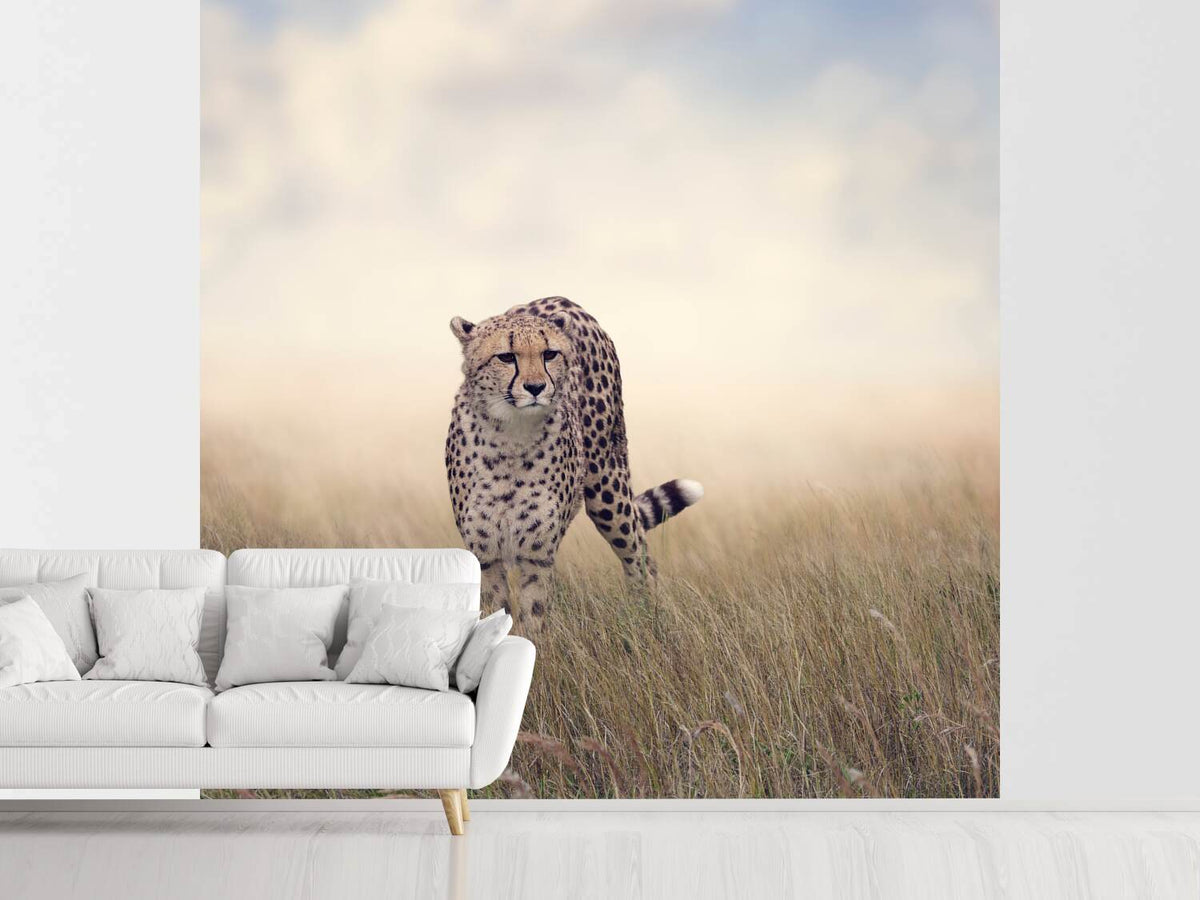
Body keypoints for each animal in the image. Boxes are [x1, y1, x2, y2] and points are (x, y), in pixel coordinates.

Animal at [445, 296, 703, 631]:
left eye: (549, 354)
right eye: (506, 357)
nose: (536, 387)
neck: (511, 437)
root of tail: (562, 300)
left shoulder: (537, 556)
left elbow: (533, 619)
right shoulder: (485, 557)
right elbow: (494, 617)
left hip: (608, 492)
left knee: (639, 553)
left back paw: (646, 615)